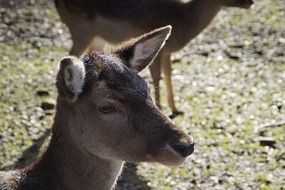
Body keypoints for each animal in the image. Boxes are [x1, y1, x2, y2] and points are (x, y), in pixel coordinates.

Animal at [55, 0, 253, 117]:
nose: (250, 2)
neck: (183, 20)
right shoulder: (161, 52)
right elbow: (157, 77)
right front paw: (162, 109)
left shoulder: (166, 52)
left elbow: (169, 74)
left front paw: (176, 109)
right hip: (82, 32)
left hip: (97, 39)